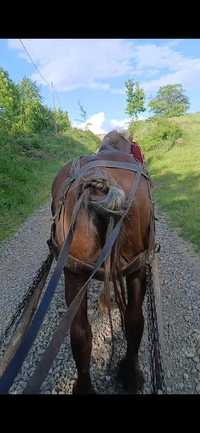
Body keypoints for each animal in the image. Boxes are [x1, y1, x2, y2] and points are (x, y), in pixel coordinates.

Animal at [49, 130, 153, 394]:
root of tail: (101, 183)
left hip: (74, 272)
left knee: (81, 331)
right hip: (130, 268)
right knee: (131, 319)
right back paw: (128, 372)